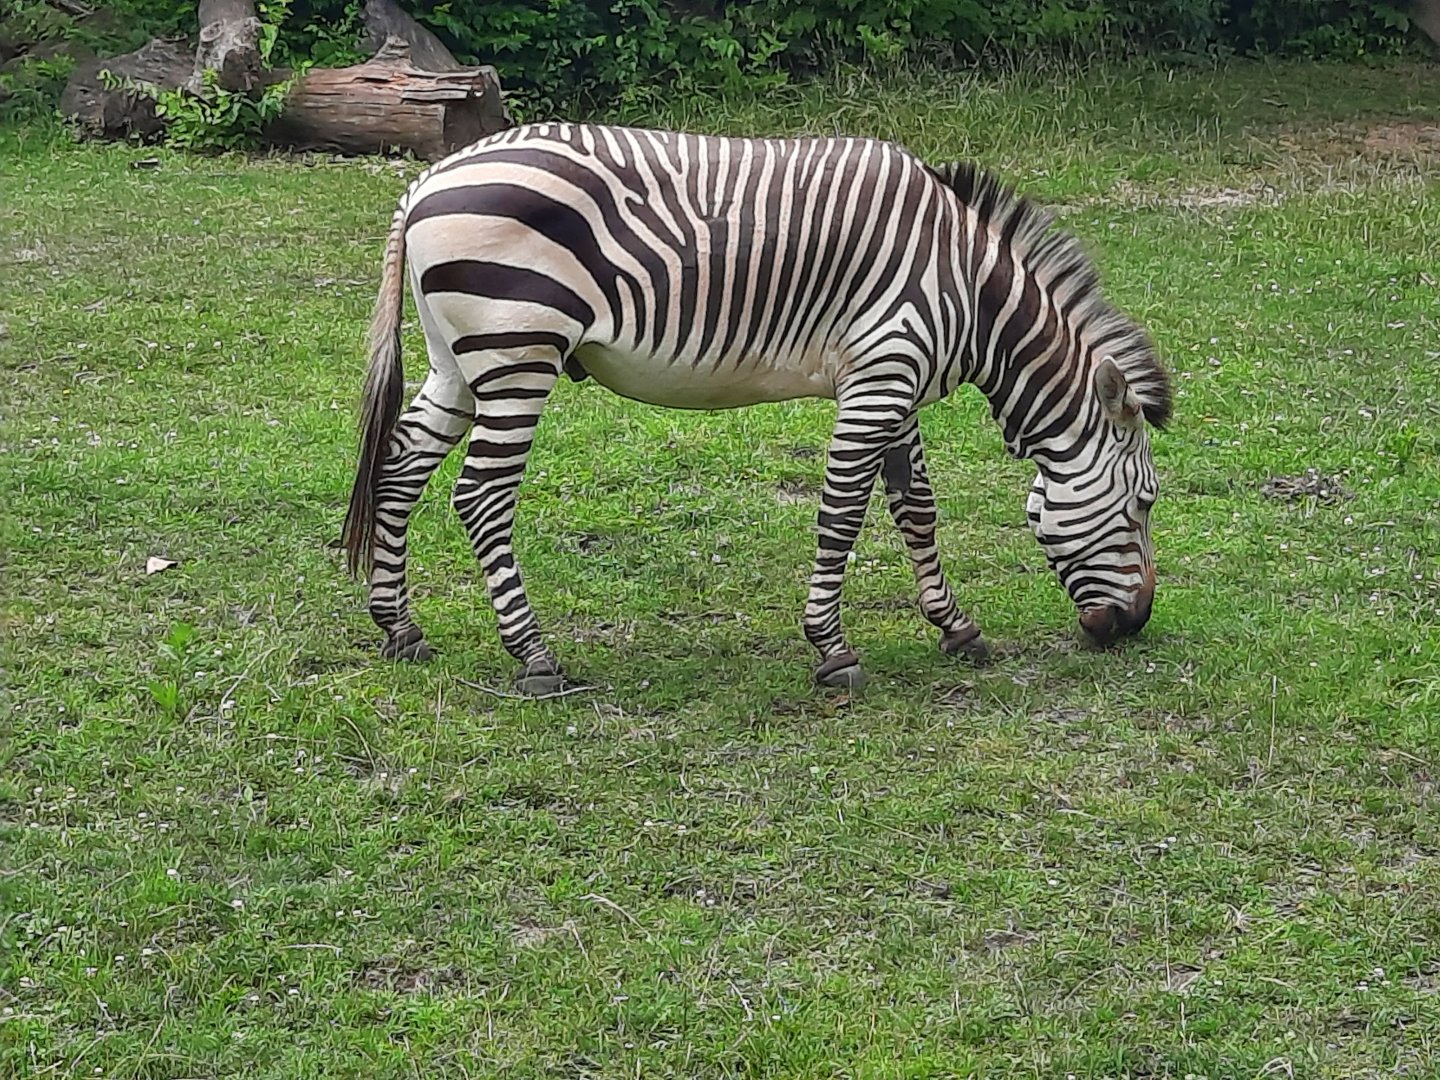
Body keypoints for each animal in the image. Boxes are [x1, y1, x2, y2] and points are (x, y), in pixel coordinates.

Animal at [341, 122, 1172, 694]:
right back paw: (534, 655)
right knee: (481, 497)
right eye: (1144, 503)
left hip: (459, 360)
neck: (970, 289)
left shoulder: (897, 382)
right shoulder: (881, 373)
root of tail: (425, 182)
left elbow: (916, 508)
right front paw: (832, 648)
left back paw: (400, 628)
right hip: (519, 350)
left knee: (401, 467)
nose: (1135, 626)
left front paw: (956, 628)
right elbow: (842, 512)